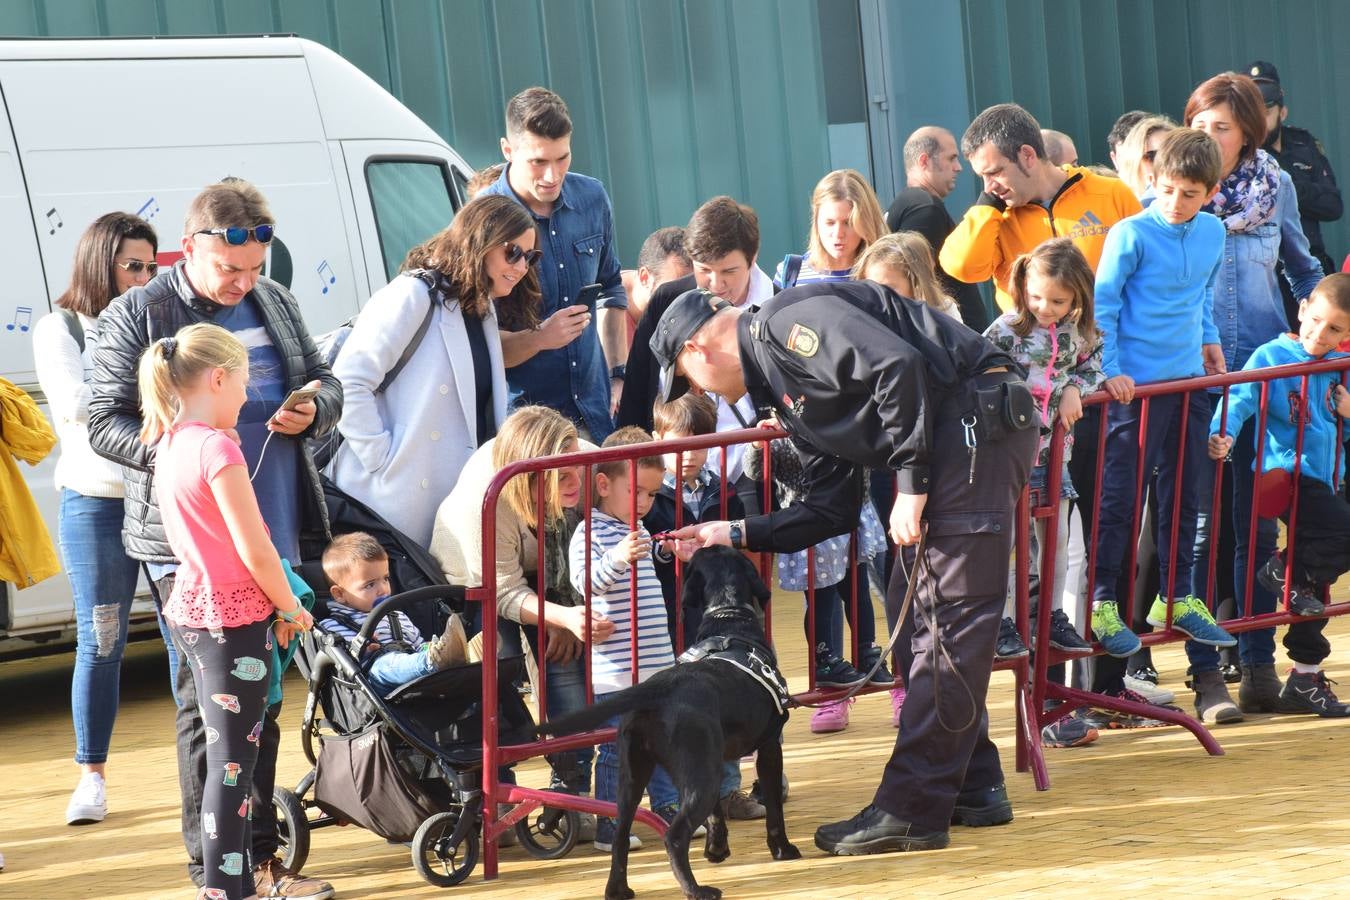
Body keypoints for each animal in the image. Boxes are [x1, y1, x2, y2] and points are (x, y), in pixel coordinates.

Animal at [534, 545, 793, 895]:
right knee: (674, 836)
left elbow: (715, 816)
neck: (729, 620)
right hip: (700, 776)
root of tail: (655, 690)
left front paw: (716, 850)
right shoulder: (768, 747)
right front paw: (783, 849)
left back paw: (617, 889)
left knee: (620, 836)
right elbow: (774, 810)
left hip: (635, 777)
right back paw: (696, 890)